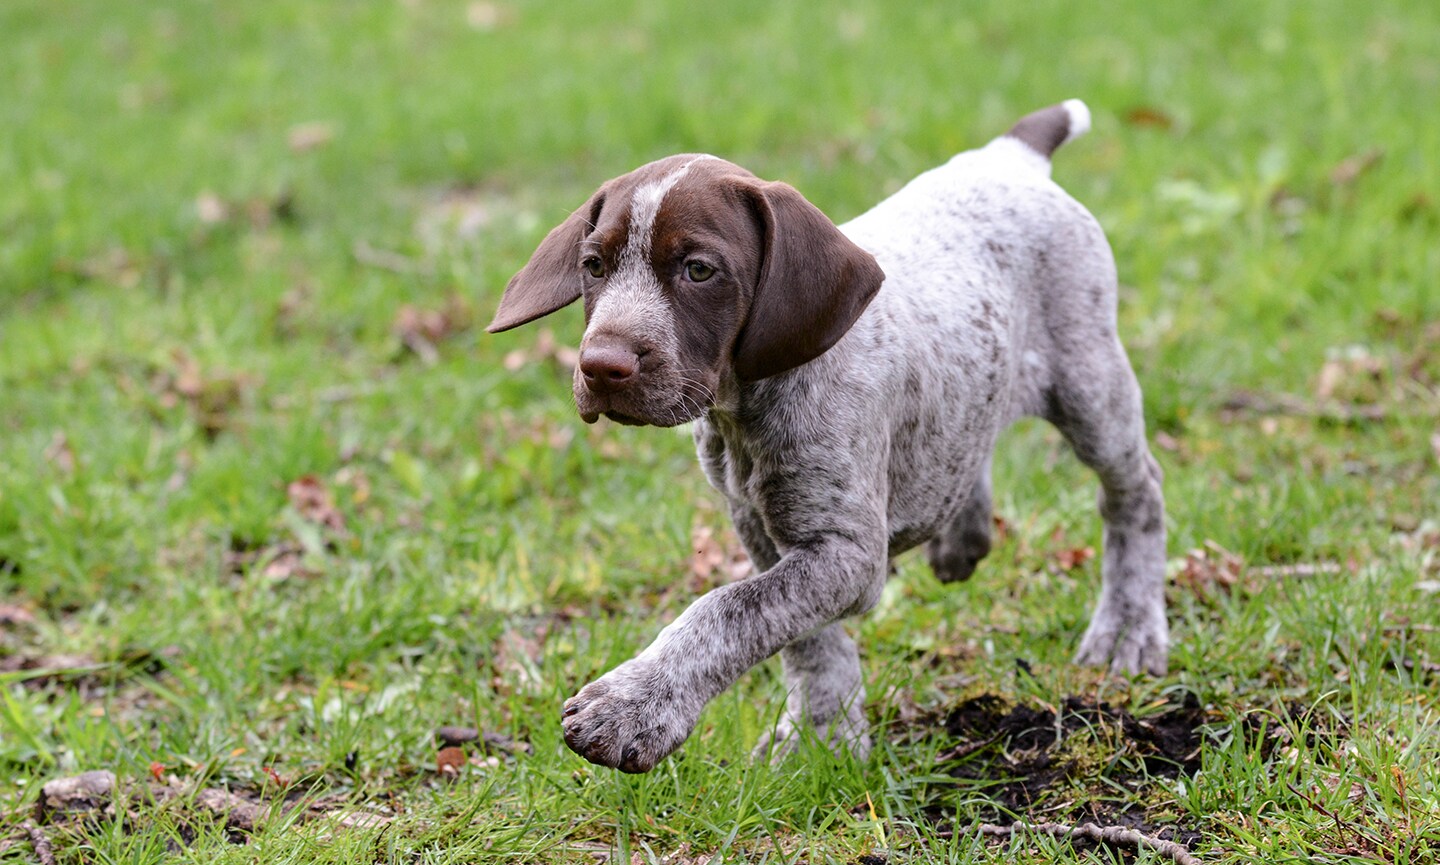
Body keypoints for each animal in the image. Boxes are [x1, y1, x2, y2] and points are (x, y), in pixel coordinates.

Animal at [489, 99, 1163, 771]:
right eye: (593, 266)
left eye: (699, 270)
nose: (601, 367)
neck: (745, 407)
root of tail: (1009, 155)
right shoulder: (759, 524)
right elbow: (803, 639)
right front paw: (823, 731)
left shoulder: (846, 551)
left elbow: (727, 611)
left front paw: (633, 706)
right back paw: (961, 537)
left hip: (1090, 386)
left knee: (1135, 492)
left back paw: (1128, 630)